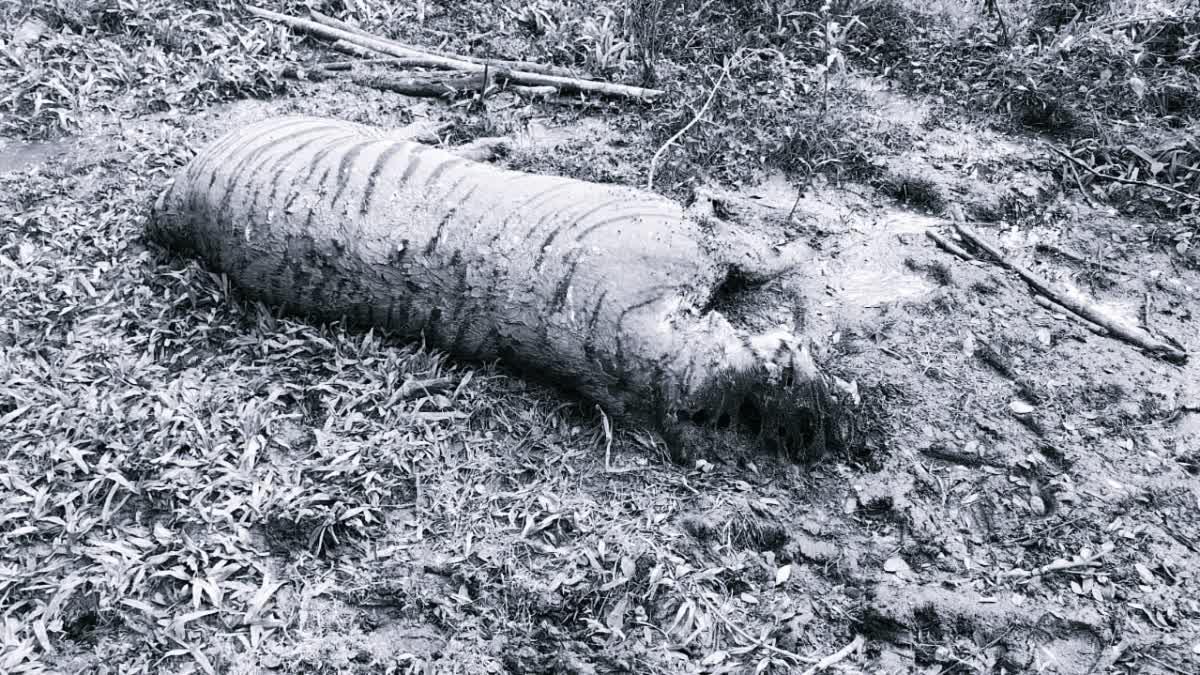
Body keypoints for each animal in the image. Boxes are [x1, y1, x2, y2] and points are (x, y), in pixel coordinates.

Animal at [148, 116, 855, 460]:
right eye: (794, 370)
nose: (838, 421)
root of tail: (175, 203)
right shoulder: (692, 238)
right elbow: (766, 252)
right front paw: (801, 247)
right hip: (317, 123)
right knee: (405, 133)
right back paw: (483, 139)